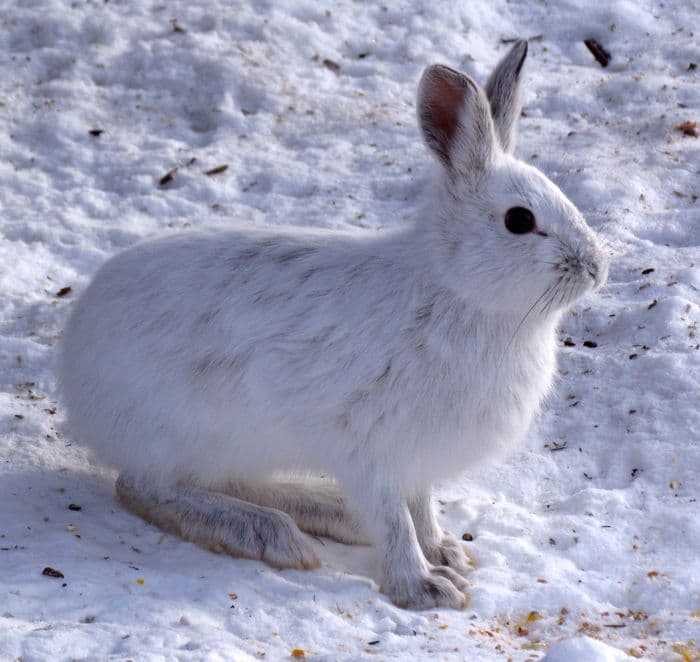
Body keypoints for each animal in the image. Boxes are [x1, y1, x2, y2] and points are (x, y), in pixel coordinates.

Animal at [59, 39, 608, 610]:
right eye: (519, 220)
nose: (596, 267)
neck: (454, 290)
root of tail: (73, 372)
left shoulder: (414, 460)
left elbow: (420, 509)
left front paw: (446, 552)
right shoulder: (371, 448)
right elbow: (394, 522)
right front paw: (425, 588)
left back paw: (325, 512)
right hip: (183, 430)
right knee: (144, 488)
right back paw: (268, 534)